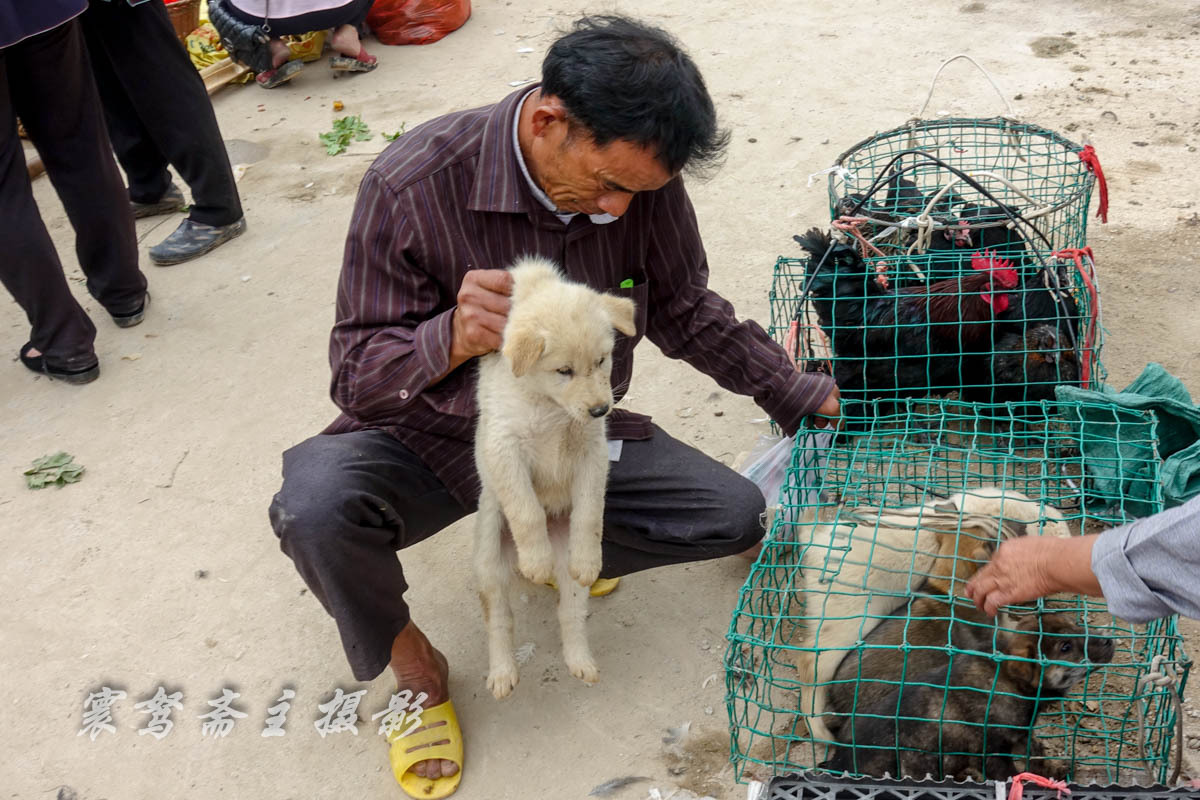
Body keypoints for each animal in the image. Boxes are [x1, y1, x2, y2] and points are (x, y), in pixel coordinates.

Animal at [472, 257, 638, 700]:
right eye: (564, 371)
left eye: (602, 361)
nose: (600, 410)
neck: (550, 407)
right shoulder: (505, 449)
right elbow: (526, 511)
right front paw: (535, 560)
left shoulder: (593, 453)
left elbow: (590, 514)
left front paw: (588, 557)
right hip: (489, 558)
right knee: (499, 620)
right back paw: (502, 672)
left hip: (566, 567)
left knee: (570, 612)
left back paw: (580, 660)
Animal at [816, 609, 1113, 777]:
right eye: (1065, 647)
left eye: (1076, 625)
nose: (1109, 641)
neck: (1008, 681)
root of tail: (837, 763)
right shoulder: (990, 753)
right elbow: (1008, 775)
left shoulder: (1021, 733)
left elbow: (1036, 754)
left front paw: (1055, 771)